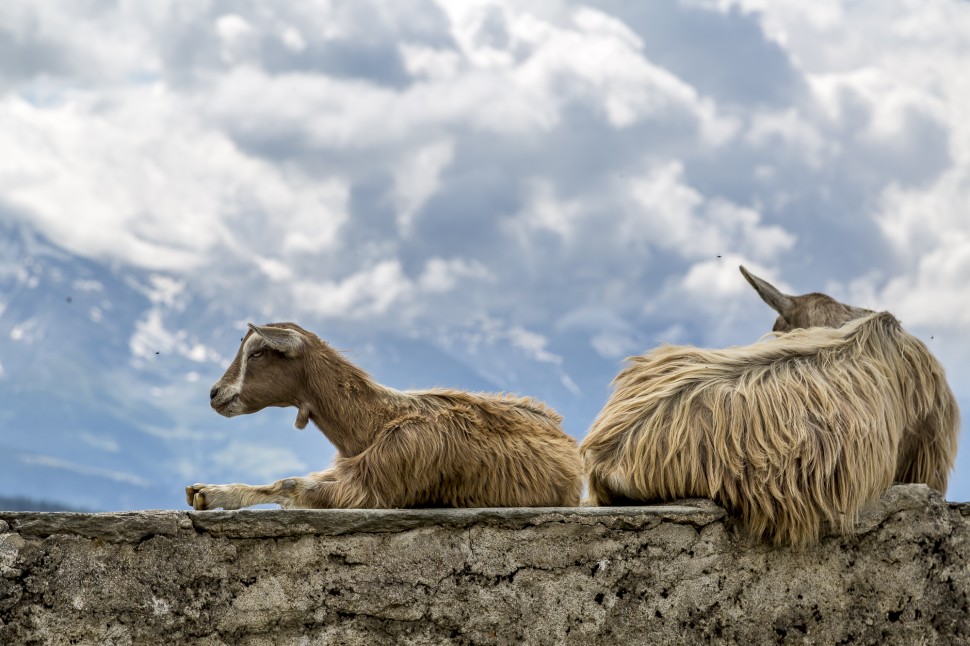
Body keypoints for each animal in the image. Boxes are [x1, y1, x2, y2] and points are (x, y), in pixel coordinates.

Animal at [187, 324, 584, 512]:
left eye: (257, 353)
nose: (215, 393)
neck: (374, 425)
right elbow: (283, 481)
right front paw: (209, 493)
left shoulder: (378, 485)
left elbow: (293, 486)